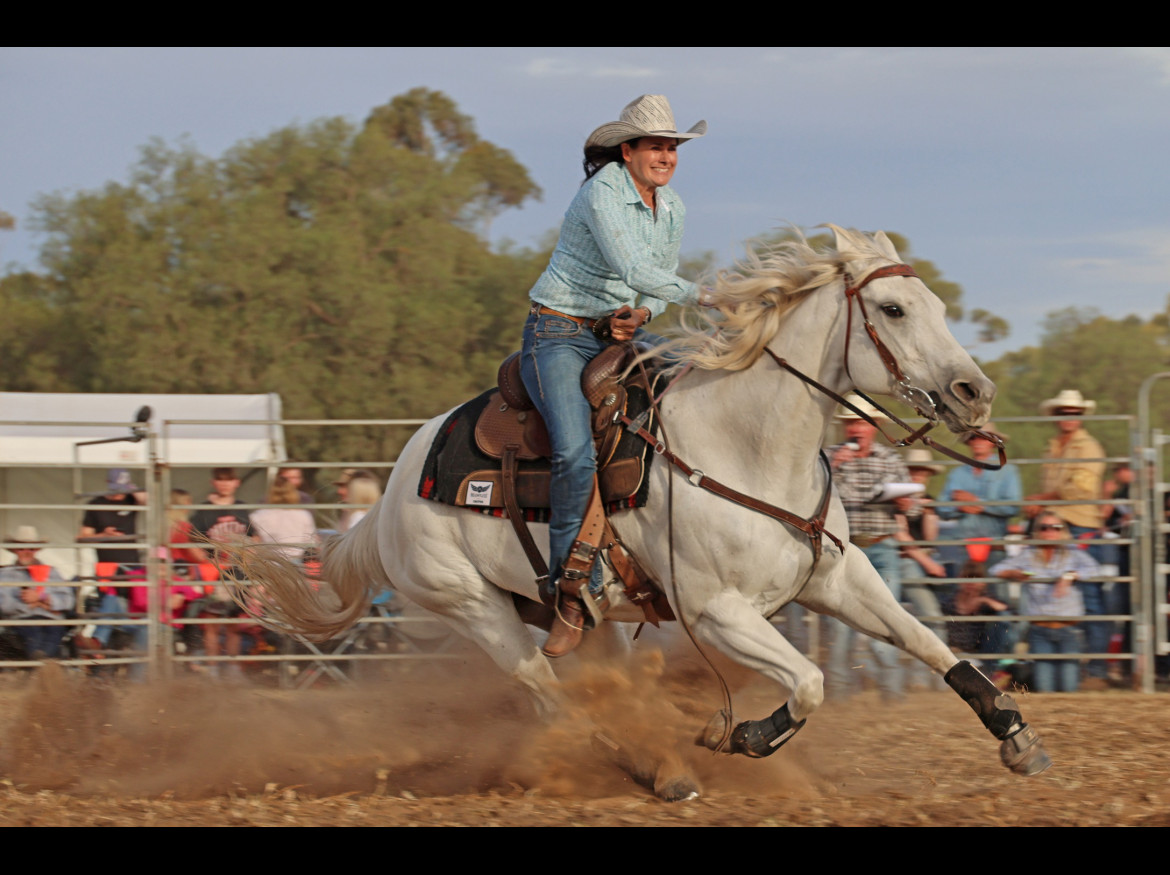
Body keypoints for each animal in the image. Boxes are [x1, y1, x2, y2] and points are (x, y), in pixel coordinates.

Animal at [235, 226, 1053, 800]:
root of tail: (394, 490)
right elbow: (811, 681)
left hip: (584, 620)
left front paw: (1015, 734)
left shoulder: (838, 580)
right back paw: (660, 772)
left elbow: (928, 642)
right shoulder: (716, 610)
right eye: (892, 308)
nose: (974, 392)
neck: (745, 446)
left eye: (937, 307)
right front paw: (743, 737)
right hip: (473, 608)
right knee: (550, 699)